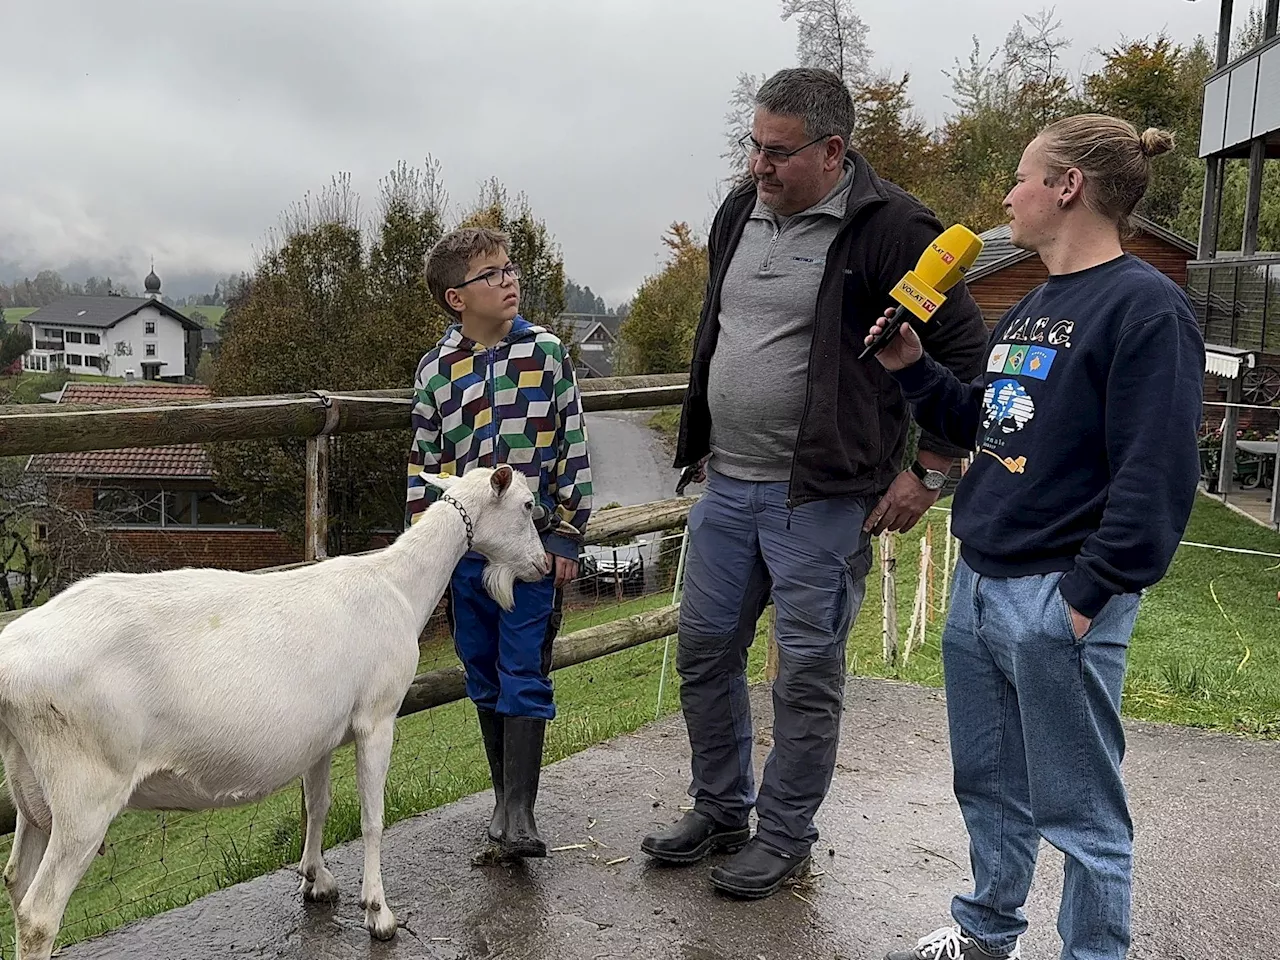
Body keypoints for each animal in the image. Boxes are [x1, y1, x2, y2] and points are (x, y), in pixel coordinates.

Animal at [0, 463, 545, 957]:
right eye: (527, 505)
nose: (542, 566)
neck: (398, 587)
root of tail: (11, 662)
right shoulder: (377, 715)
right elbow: (372, 816)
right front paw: (379, 914)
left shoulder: (322, 734)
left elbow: (317, 805)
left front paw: (317, 880)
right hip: (86, 788)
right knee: (40, 913)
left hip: (31, 787)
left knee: (15, 883)